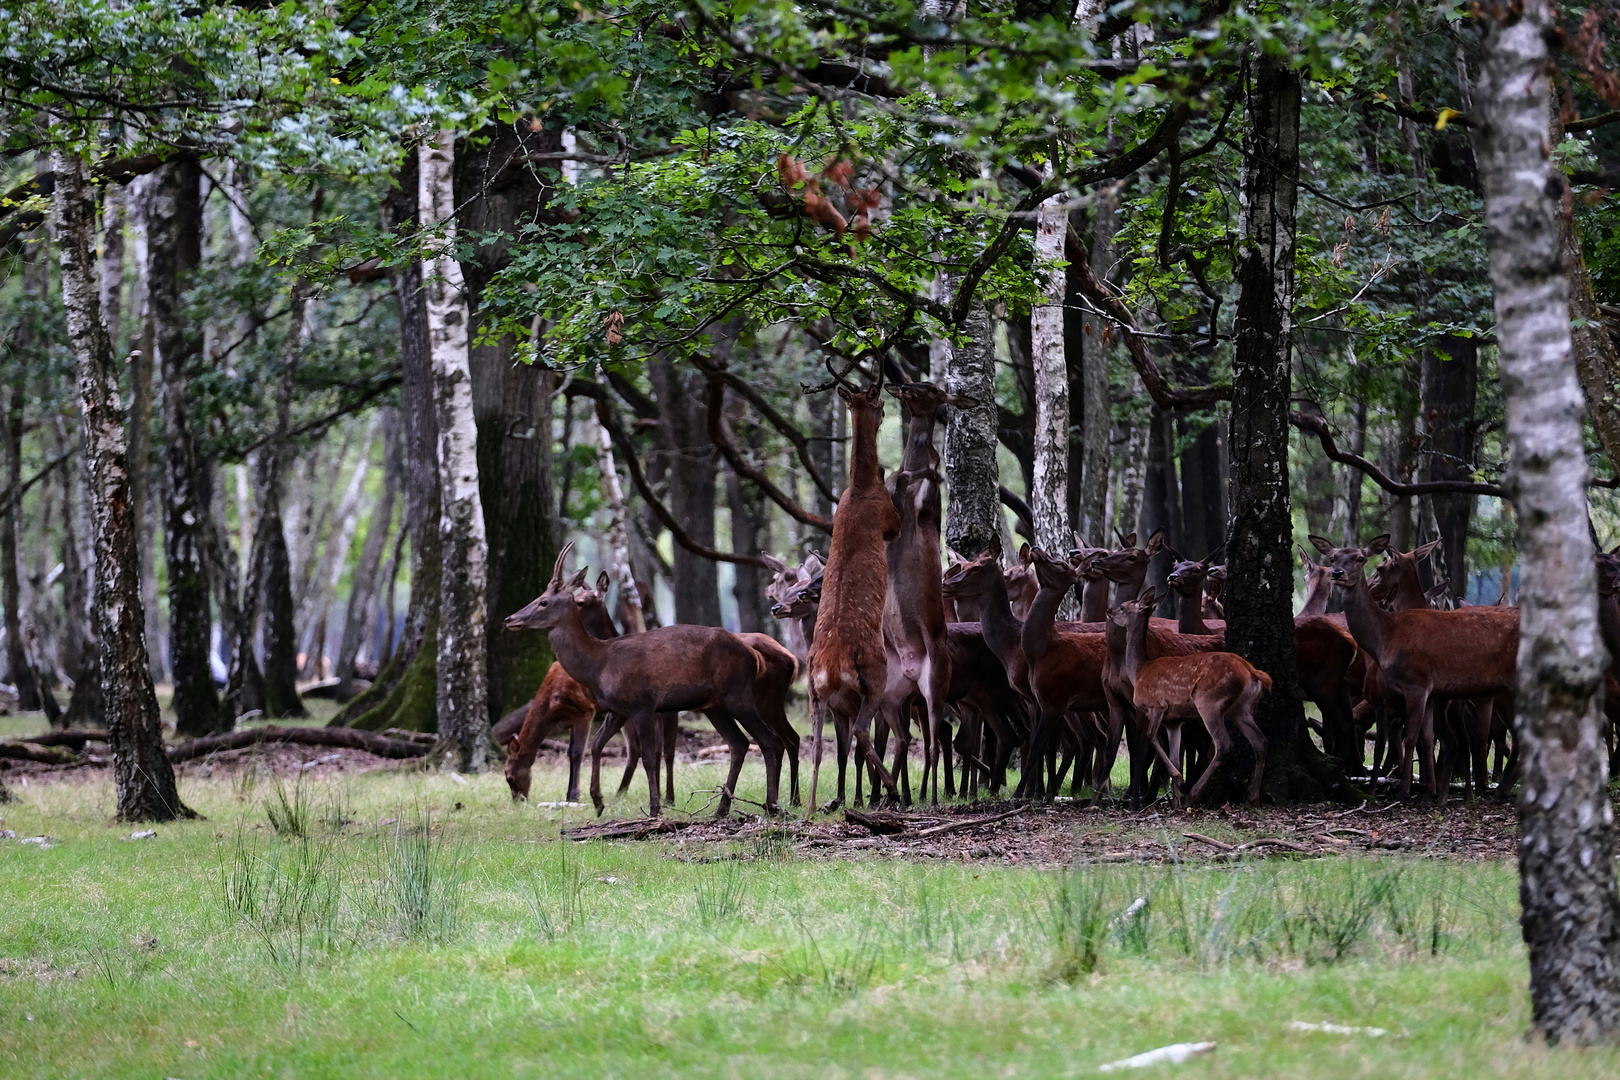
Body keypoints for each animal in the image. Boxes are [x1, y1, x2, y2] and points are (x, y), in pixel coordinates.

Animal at [505, 544, 784, 816]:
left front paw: (654, 808)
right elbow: (596, 745)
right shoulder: (618, 709)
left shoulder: (642, 704)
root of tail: (754, 656)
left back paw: (771, 805)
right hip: (713, 704)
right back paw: (722, 809)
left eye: (543, 601)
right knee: (739, 743)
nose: (510, 619)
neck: (599, 664)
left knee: (768, 739)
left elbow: (648, 756)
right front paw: (598, 801)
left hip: (736, 693)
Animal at [1114, 586, 1276, 806]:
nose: (1109, 611)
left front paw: (1181, 783)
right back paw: (1252, 797)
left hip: (1209, 702)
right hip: (1241, 708)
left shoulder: (1156, 706)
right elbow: (1175, 757)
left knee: (1223, 745)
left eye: (1123, 607)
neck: (1139, 671)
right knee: (1261, 741)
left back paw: (1193, 793)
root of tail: (1252, 672)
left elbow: (1150, 738)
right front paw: (1175, 803)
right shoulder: (1174, 722)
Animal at [1308, 534, 1522, 803]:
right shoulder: (1428, 694)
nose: (1338, 573)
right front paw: (1427, 792)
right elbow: (1425, 738)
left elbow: (1410, 738)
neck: (1386, 638)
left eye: (1362, 559)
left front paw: (1404, 791)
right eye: (1333, 558)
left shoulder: (1417, 685)